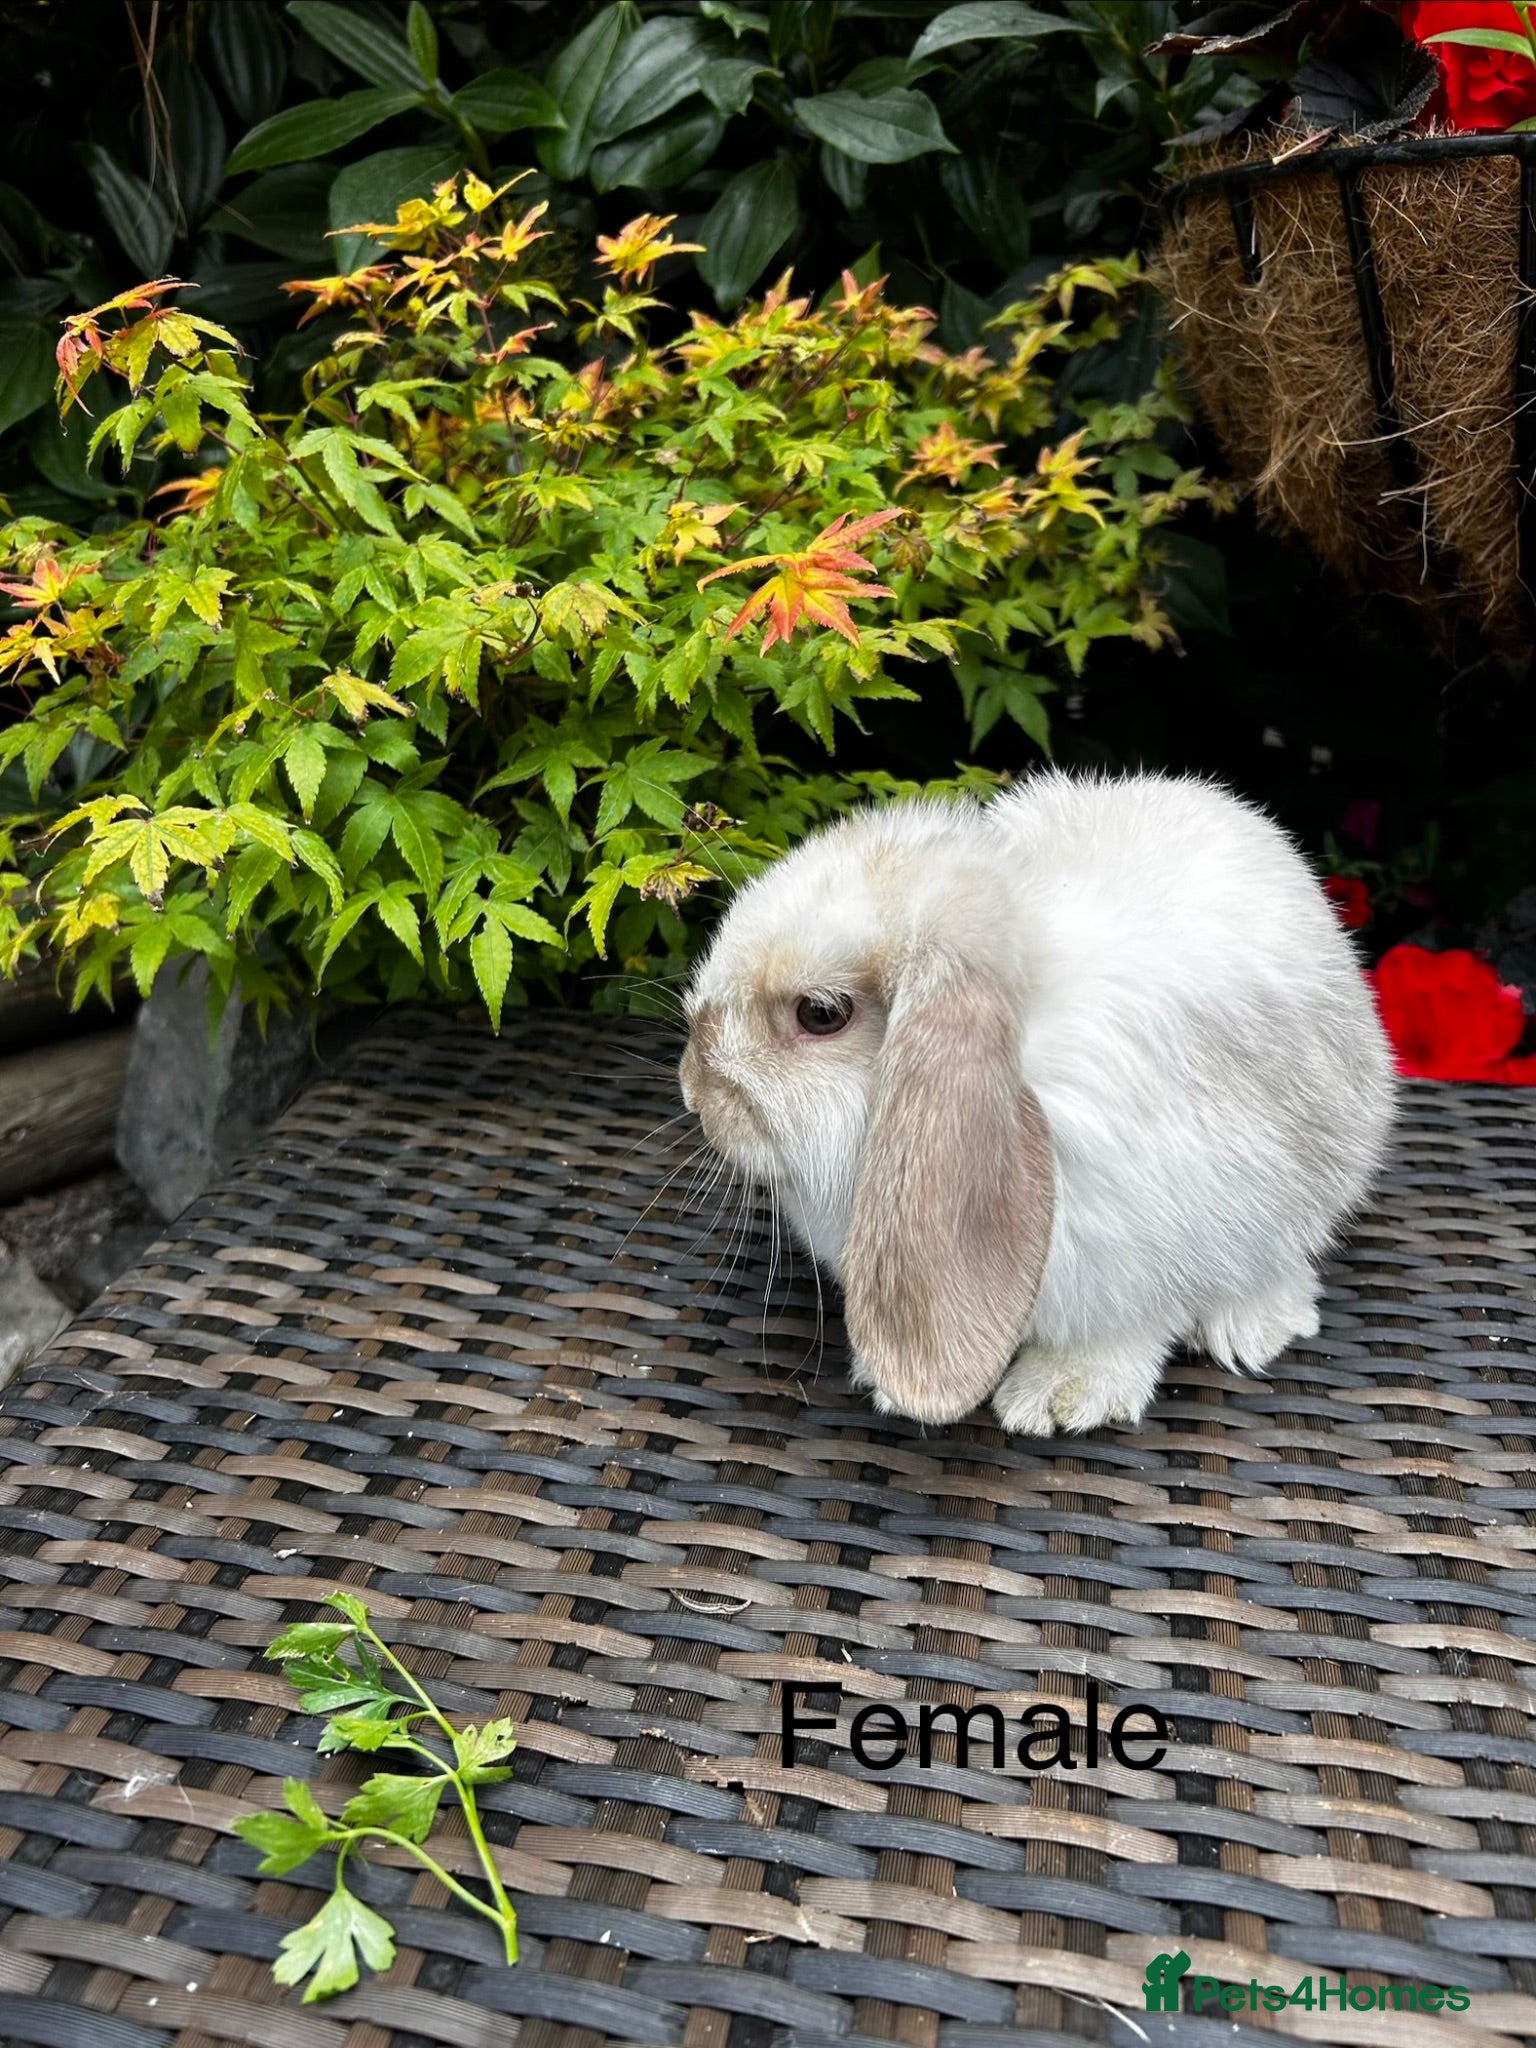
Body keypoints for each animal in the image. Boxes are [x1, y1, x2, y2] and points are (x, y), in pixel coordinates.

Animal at [678, 769, 1396, 1435]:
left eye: (821, 1014)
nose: (693, 1087)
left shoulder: (1147, 1257)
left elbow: (1124, 1331)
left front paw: (1058, 1396)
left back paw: (1251, 1327)